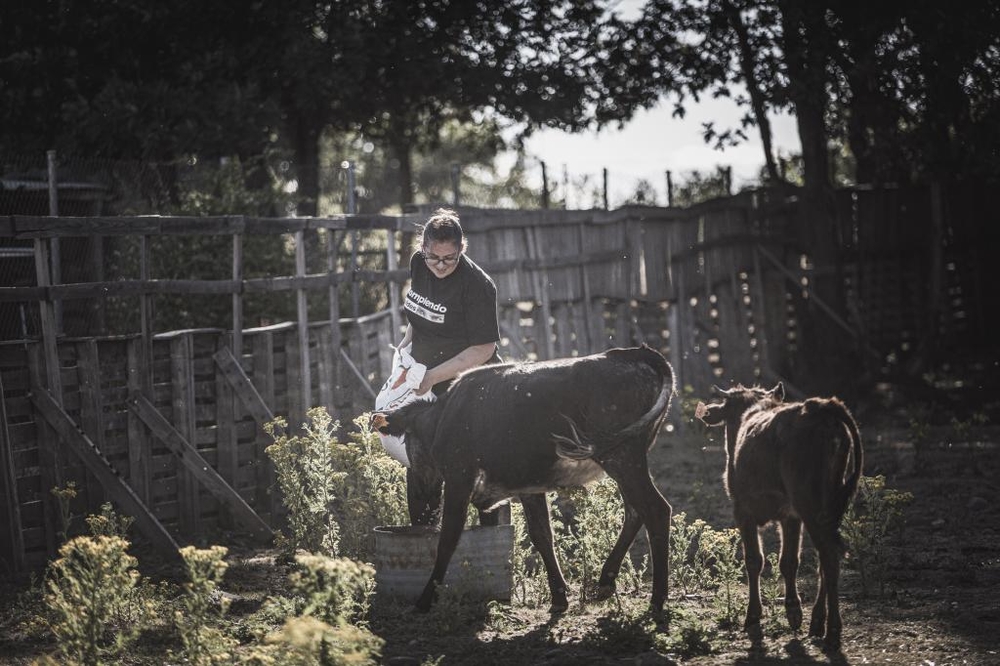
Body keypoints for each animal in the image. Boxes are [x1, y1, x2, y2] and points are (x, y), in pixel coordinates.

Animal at [372, 344, 676, 616]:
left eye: (408, 439)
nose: (420, 486)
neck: (443, 418)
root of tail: (633, 353)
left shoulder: (460, 479)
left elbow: (448, 538)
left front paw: (424, 600)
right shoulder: (529, 486)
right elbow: (542, 535)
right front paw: (559, 598)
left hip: (623, 457)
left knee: (655, 510)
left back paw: (657, 601)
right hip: (628, 459)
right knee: (635, 511)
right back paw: (606, 582)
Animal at [696, 382, 868, 644]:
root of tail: (820, 407)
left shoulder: (743, 511)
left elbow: (754, 560)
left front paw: (753, 616)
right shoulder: (790, 516)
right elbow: (788, 561)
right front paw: (793, 611)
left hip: (809, 505)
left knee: (828, 556)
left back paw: (832, 627)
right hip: (825, 507)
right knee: (827, 558)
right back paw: (817, 621)